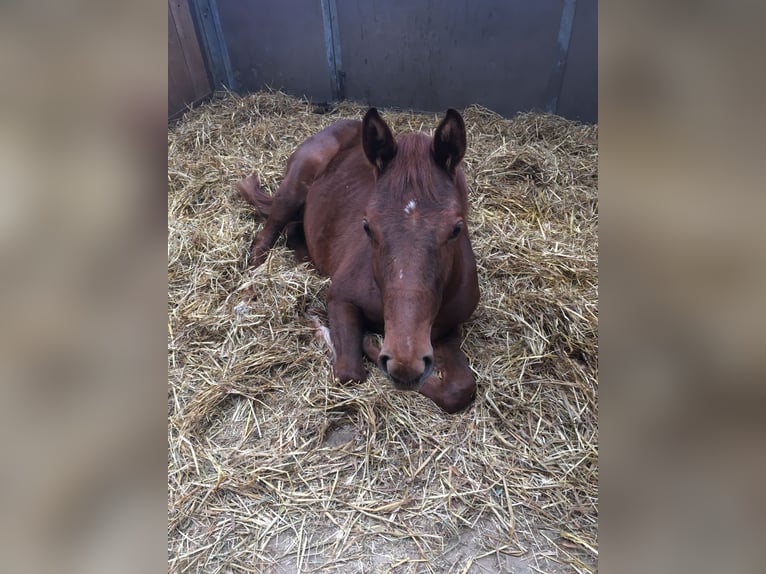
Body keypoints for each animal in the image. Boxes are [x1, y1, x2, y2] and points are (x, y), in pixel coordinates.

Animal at [236, 108, 479, 413]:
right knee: (265, 236)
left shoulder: (447, 328)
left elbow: (461, 388)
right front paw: (334, 333)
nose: (405, 364)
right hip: (293, 189)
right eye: (367, 226)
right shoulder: (340, 298)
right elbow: (349, 372)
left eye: (457, 228)